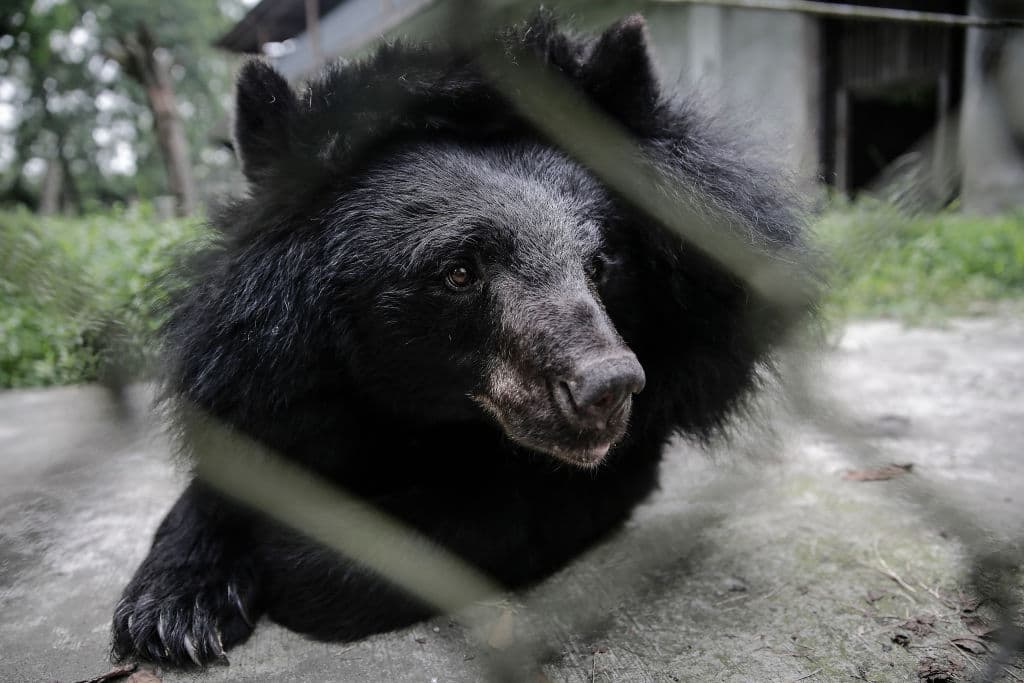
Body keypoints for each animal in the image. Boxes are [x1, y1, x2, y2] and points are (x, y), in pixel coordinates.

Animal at [110, 11, 813, 668]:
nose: (608, 388)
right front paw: (171, 614)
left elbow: (499, 515)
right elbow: (238, 453)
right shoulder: (260, 366)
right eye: (458, 272)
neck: (427, 417)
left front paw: (291, 553)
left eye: (601, 263)